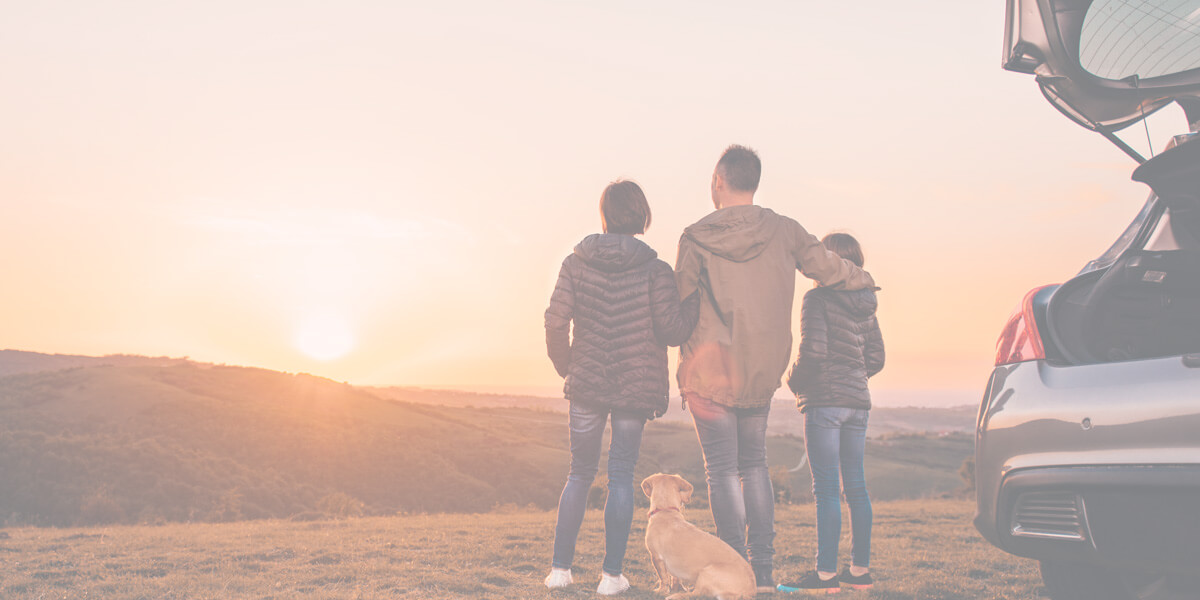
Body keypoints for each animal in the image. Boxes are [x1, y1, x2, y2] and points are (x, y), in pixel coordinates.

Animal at [643, 472, 753, 600]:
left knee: (697, 593)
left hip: (706, 572)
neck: (666, 511)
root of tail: (750, 591)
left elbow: (663, 578)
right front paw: (676, 587)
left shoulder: (656, 557)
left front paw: (661, 591)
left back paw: (676, 596)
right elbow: (675, 578)